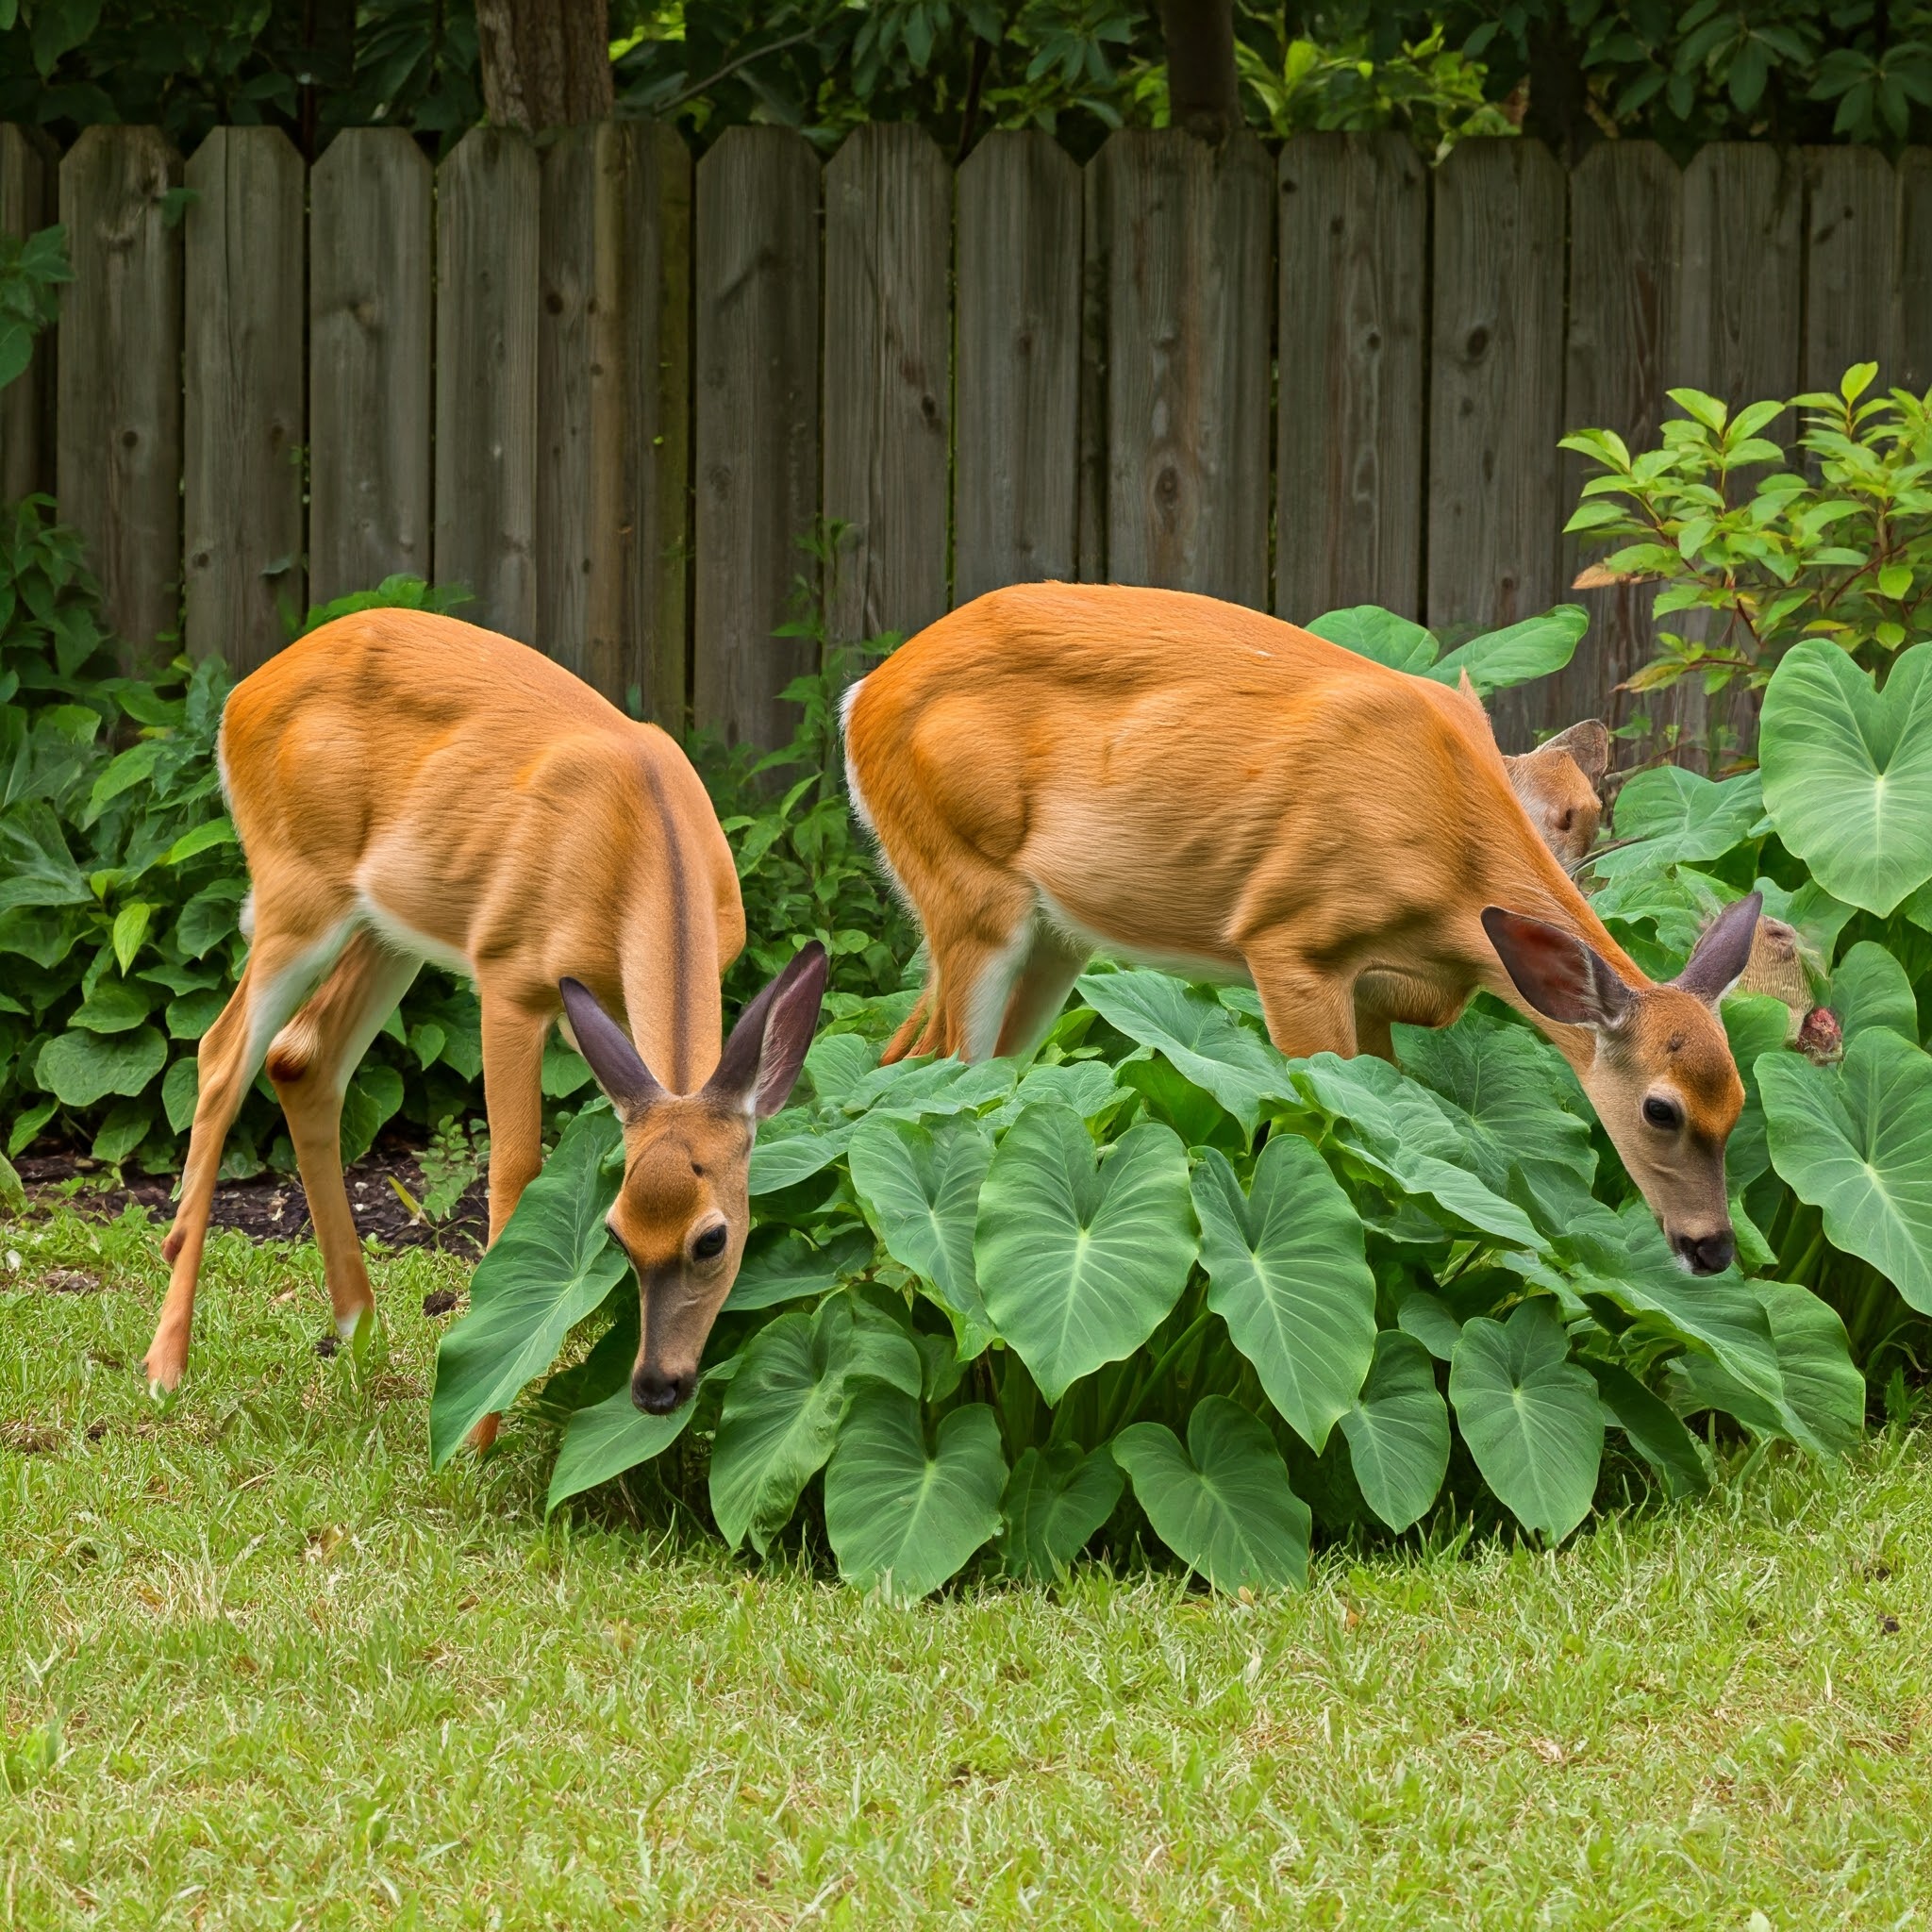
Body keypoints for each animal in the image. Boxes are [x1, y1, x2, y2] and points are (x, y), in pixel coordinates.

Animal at [141, 610, 823, 1429]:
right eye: (616, 1235)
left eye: (714, 1239)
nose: (657, 1387)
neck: (643, 840)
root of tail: (239, 697)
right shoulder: (508, 974)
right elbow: (512, 1170)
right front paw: (484, 1413)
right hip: (295, 889)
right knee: (219, 1054)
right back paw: (166, 1366)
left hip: (385, 927)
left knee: (300, 1057)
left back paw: (361, 1334)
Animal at [846, 579, 1769, 1274]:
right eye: (1660, 1110)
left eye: (1738, 1102)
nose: (1713, 1248)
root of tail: (863, 698)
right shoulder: (1290, 940)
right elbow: (1324, 1125)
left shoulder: (1378, 993)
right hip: (968, 886)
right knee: (937, 1078)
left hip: (1053, 937)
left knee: (922, 1066)